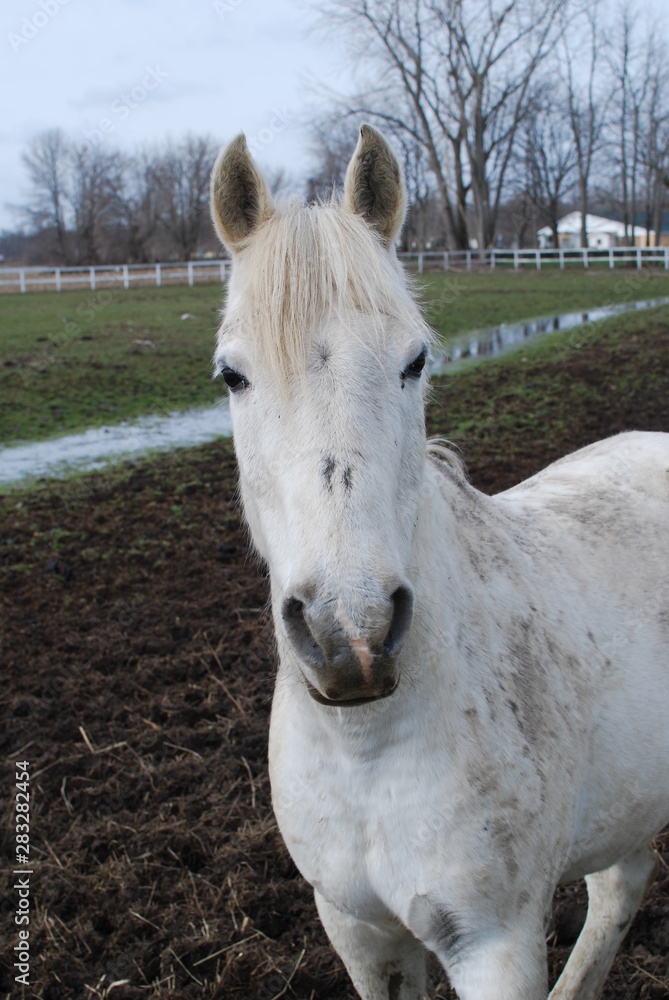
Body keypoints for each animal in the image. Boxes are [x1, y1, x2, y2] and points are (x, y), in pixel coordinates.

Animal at [209, 124, 669, 1000]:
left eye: (414, 360)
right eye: (231, 374)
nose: (350, 638)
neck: (370, 746)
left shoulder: (493, 944)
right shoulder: (360, 933)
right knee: (618, 888)